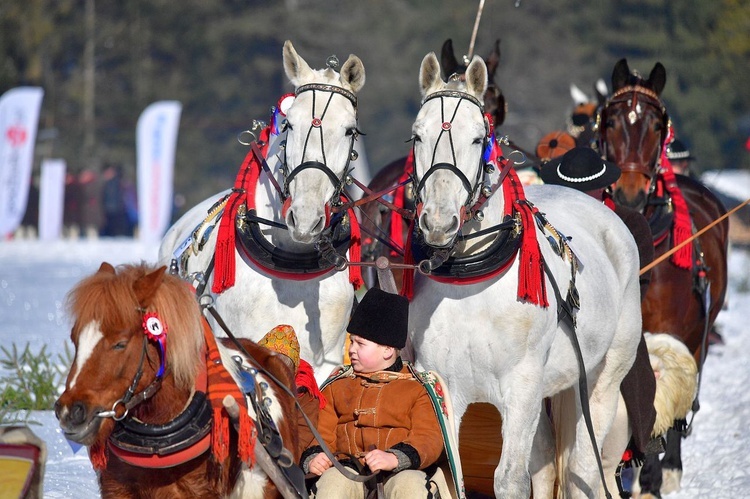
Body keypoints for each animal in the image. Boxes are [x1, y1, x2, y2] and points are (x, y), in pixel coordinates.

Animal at [408, 52, 644, 498]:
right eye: (417, 136)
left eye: (477, 139)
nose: (439, 223)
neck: (471, 288)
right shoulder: (443, 388)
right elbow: (453, 476)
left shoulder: (523, 386)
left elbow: (510, 480)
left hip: (601, 377)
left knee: (583, 466)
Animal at [600, 59, 728, 499]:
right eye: (611, 120)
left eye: (657, 125)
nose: (630, 194)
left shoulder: (667, 332)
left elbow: (658, 392)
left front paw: (652, 479)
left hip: (699, 335)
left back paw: (667, 466)